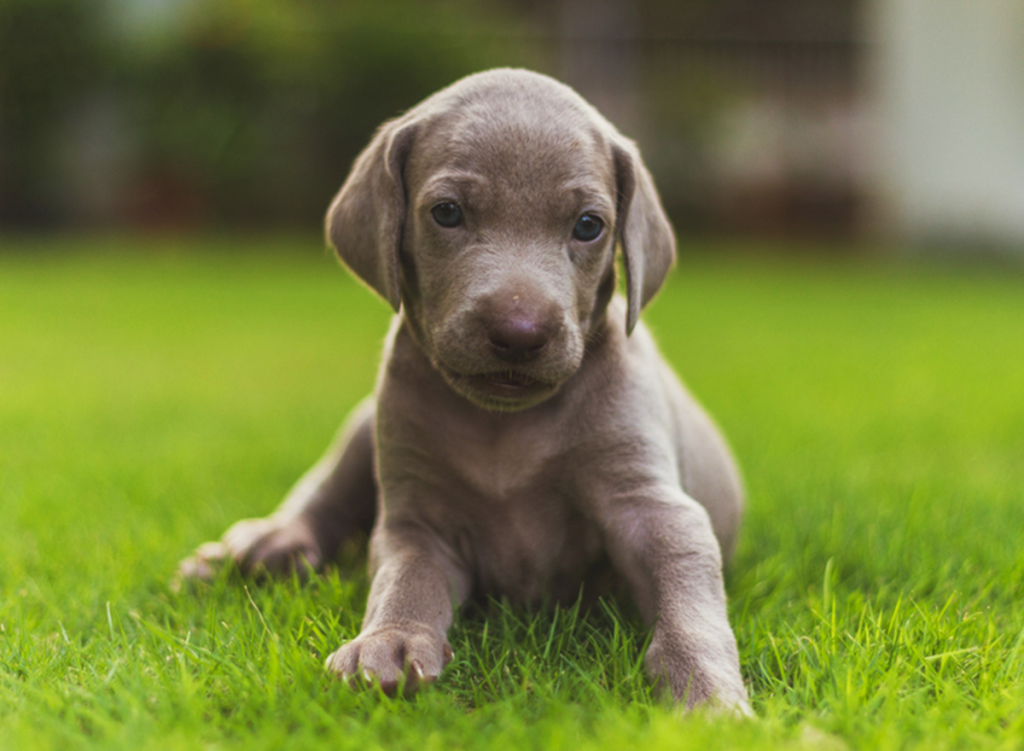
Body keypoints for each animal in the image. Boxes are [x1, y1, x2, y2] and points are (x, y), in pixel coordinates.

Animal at [180, 68, 749, 708]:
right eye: (447, 213)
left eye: (588, 226)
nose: (520, 333)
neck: (504, 425)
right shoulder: (418, 523)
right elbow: (406, 581)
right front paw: (390, 641)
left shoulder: (651, 506)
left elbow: (689, 606)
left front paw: (708, 692)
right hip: (365, 426)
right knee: (323, 493)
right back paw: (260, 547)